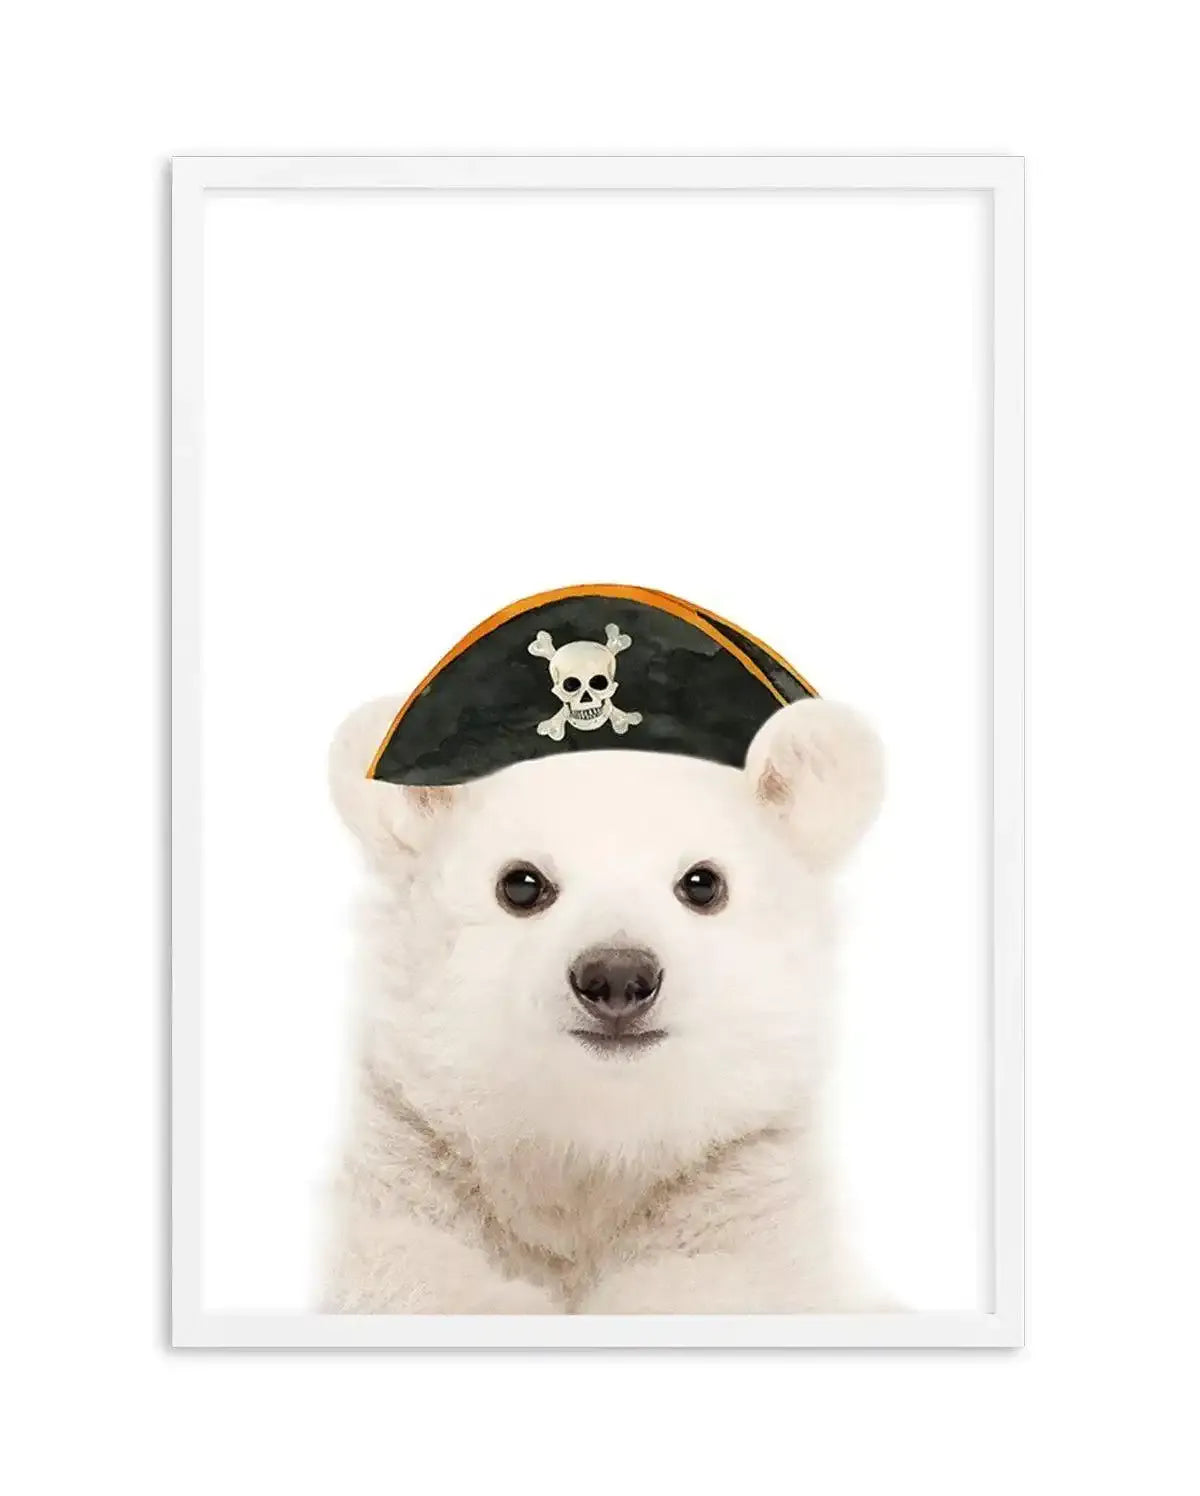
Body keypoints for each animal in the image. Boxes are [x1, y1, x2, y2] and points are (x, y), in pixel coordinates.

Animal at [322, 692, 888, 1314]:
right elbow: (411, 1263)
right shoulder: (419, 1161)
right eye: (521, 883)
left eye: (703, 882)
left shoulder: (738, 1181)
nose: (617, 976)